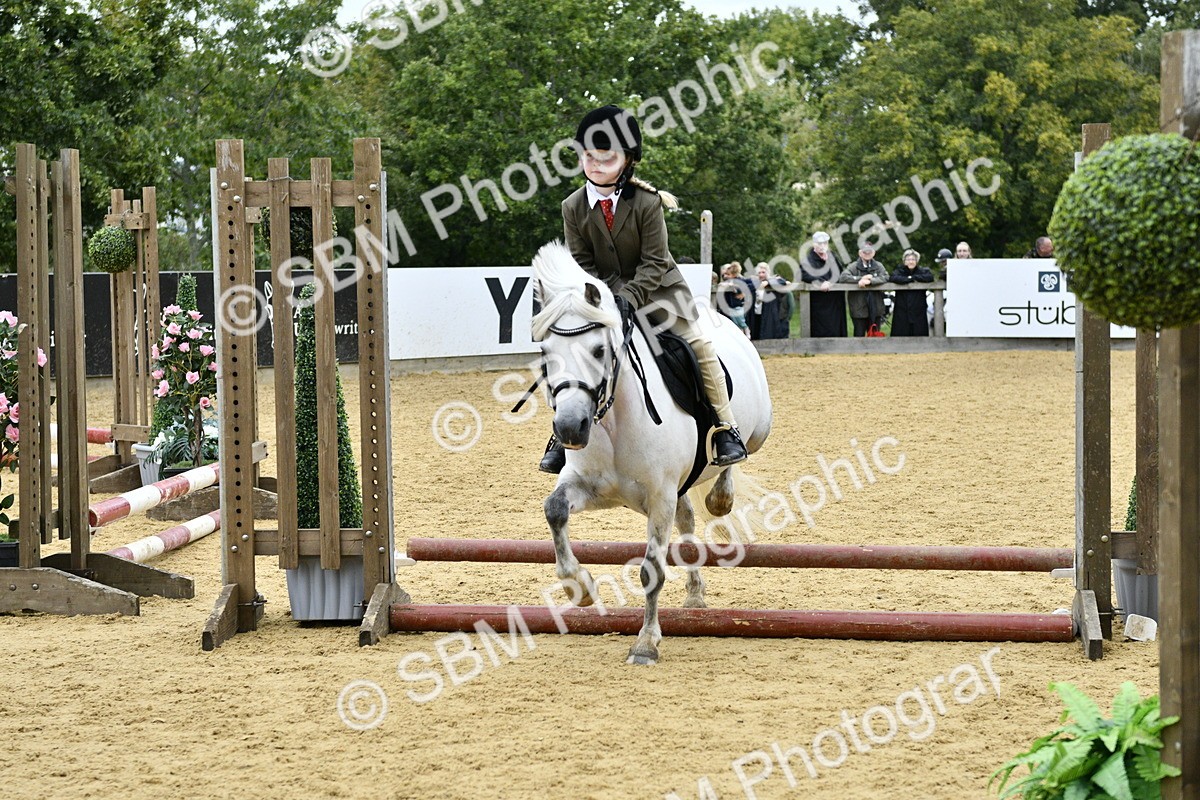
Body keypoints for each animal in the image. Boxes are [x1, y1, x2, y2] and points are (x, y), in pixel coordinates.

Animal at [530, 241, 773, 665]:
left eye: (598, 350)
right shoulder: (590, 488)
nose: (570, 428)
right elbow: (555, 510)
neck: (614, 420)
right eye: (545, 351)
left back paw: (723, 488)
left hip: (758, 429)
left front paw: (645, 643)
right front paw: (580, 588)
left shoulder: (659, 497)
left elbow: (651, 571)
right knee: (687, 521)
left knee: (736, 456)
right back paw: (694, 594)